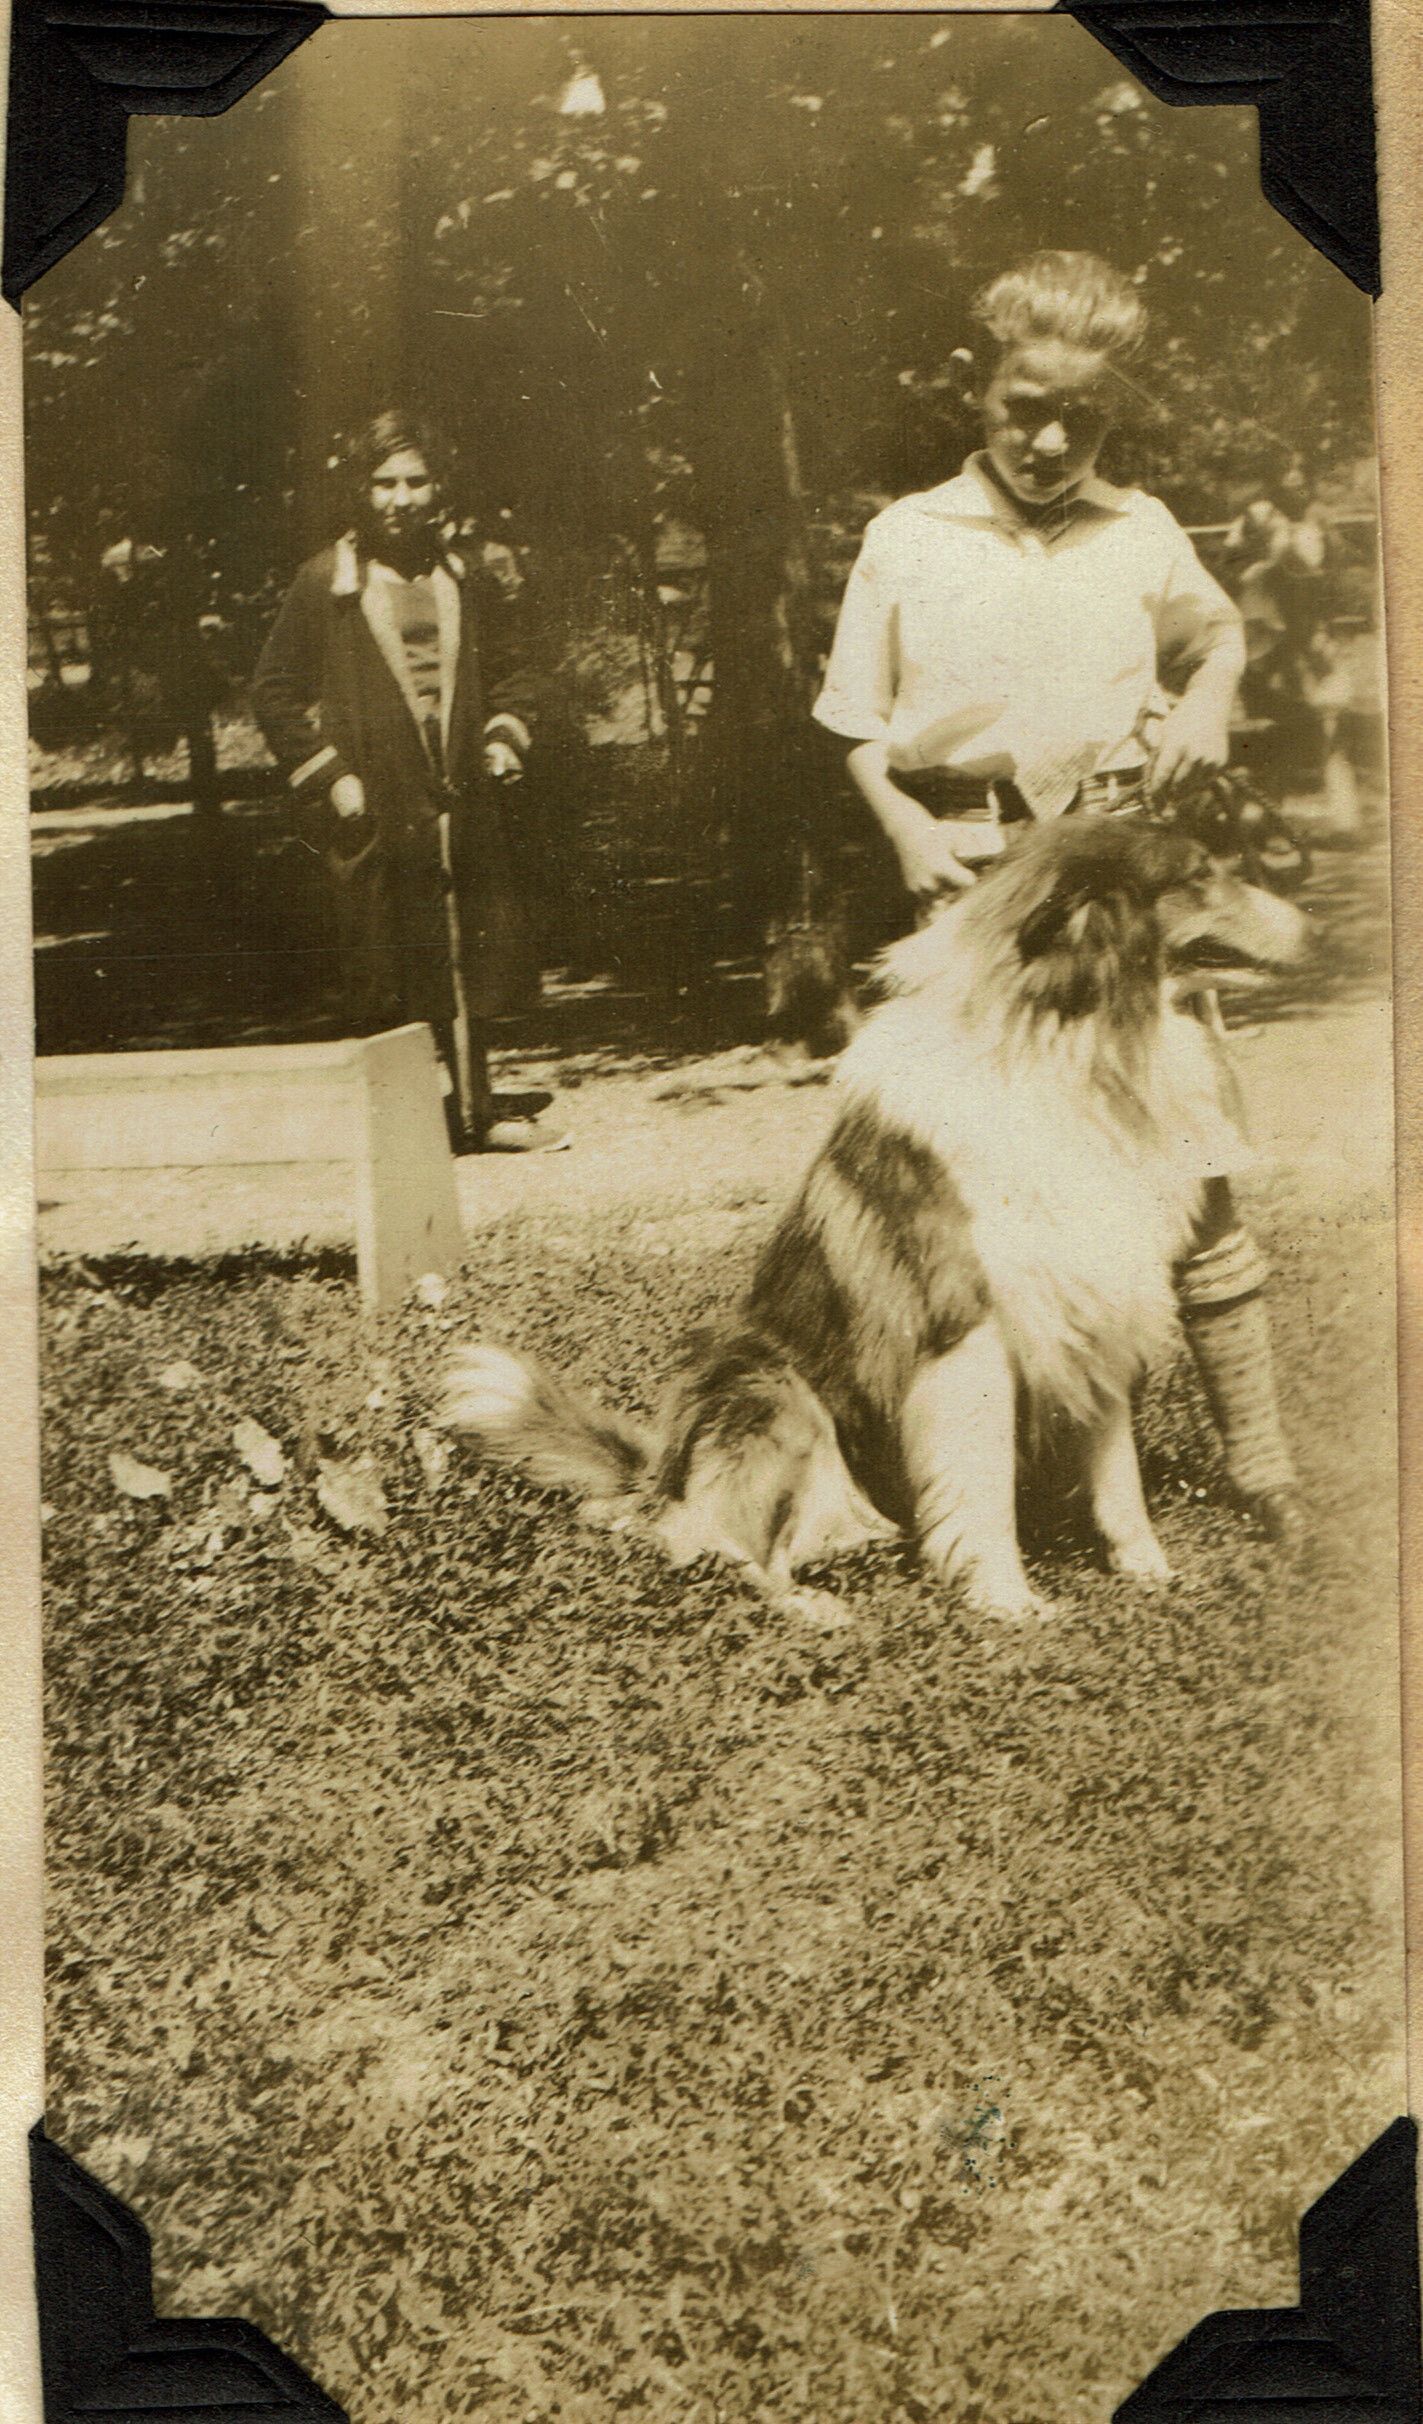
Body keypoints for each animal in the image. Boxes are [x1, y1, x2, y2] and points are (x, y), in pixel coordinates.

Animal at [443, 817, 1306, 1624]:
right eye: (1197, 875)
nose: (1312, 928)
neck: (1076, 1050)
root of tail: (659, 1472)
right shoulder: (965, 1328)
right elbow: (981, 1484)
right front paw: (1006, 1601)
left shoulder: (1093, 1304)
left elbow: (1116, 1472)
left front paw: (1148, 1571)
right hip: (772, 1390)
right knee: (703, 1541)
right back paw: (811, 1607)